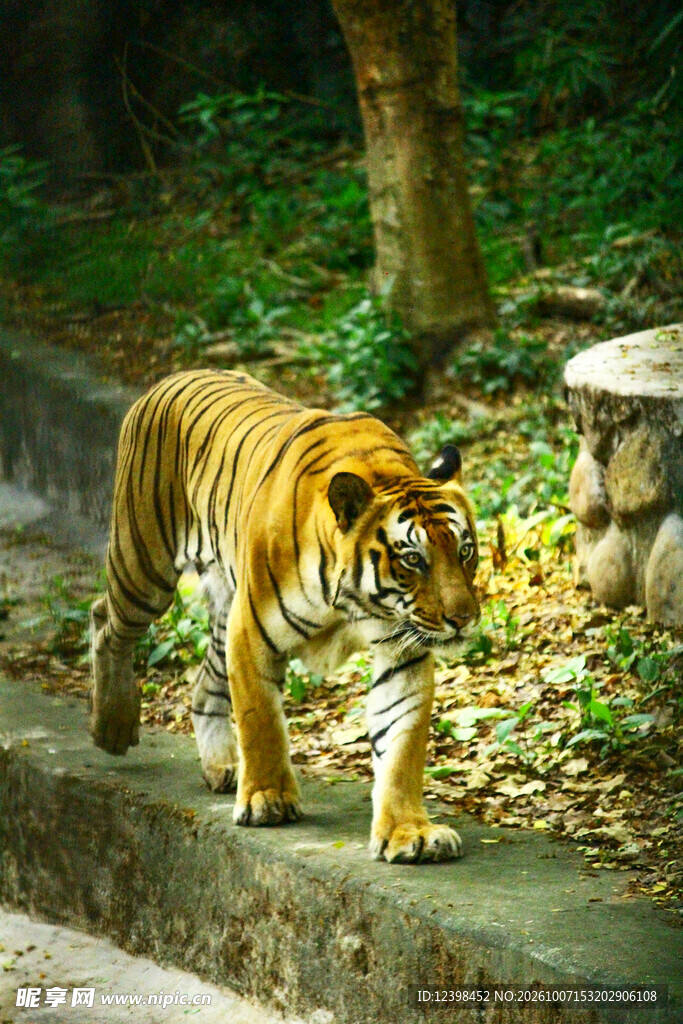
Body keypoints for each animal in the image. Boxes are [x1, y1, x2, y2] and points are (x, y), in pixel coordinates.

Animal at [90, 369, 480, 863]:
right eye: (413, 559)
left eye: (464, 551)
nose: (463, 618)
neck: (354, 601)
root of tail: (173, 377)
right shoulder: (251, 631)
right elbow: (260, 721)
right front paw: (267, 800)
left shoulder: (402, 652)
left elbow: (401, 744)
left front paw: (410, 832)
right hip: (144, 568)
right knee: (105, 621)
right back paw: (112, 725)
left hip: (219, 606)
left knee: (203, 684)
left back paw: (222, 766)